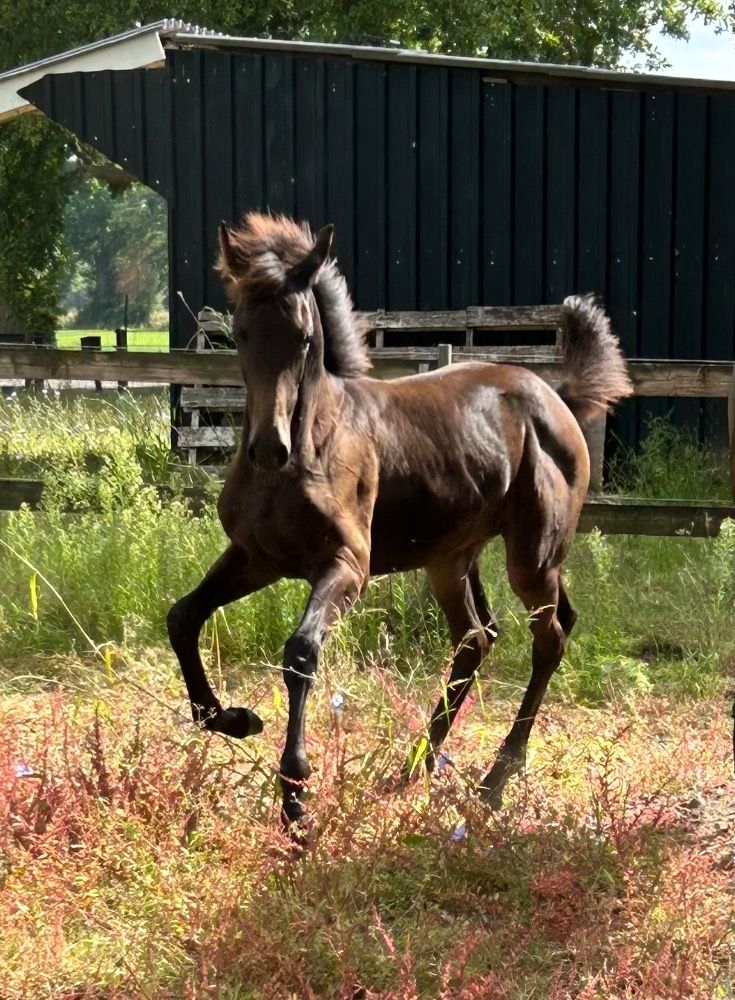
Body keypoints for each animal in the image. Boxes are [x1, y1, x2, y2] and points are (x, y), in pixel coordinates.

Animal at [167, 213, 632, 826]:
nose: (269, 449)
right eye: (242, 333)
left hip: (531, 557)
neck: (315, 441)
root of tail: (555, 396)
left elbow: (301, 652)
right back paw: (413, 767)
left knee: (547, 637)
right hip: (451, 558)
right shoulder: (255, 557)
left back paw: (494, 781)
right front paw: (236, 719)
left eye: (305, 338)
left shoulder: (347, 565)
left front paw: (295, 795)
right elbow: (183, 617)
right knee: (477, 639)